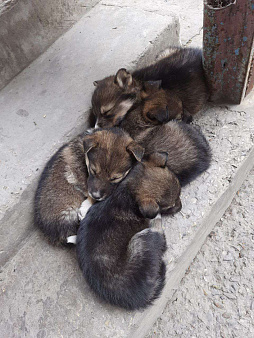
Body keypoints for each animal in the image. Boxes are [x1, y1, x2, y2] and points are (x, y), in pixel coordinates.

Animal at [76, 152, 182, 310]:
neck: (128, 191)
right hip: (141, 239)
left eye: (180, 191)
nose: (181, 207)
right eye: (170, 206)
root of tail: (140, 298)